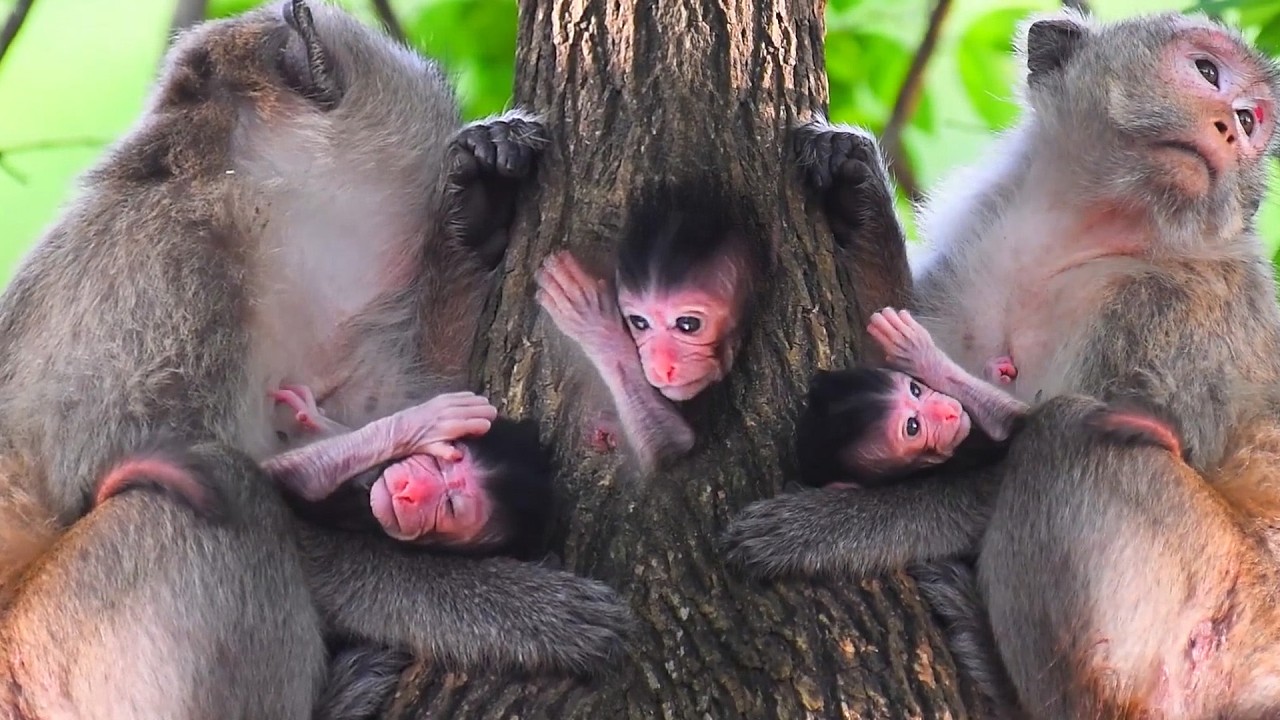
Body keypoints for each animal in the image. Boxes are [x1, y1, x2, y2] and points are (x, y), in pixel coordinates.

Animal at [0, 2, 628, 716]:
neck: (248, 202)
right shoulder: (161, 281)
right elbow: (123, 467)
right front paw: (503, 607)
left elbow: (386, 409)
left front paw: (476, 205)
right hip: (47, 665)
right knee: (206, 491)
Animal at [726, 10, 1280, 718]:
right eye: (1208, 72)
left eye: (1252, 118)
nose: (1234, 127)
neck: (1090, 229)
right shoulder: (979, 241)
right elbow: (904, 383)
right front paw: (861, 193)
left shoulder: (1180, 318)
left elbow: (1027, 449)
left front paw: (823, 529)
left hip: (1220, 612)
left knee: (1069, 434)